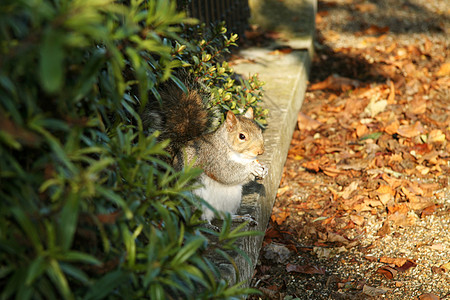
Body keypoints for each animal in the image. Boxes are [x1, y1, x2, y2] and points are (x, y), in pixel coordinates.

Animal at [141, 73, 268, 225]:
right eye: (242, 136)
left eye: (259, 131)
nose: (260, 151)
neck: (240, 156)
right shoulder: (212, 158)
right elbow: (226, 173)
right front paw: (252, 168)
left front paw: (263, 170)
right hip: (196, 198)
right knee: (200, 217)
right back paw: (207, 224)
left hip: (232, 199)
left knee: (223, 215)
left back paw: (240, 217)